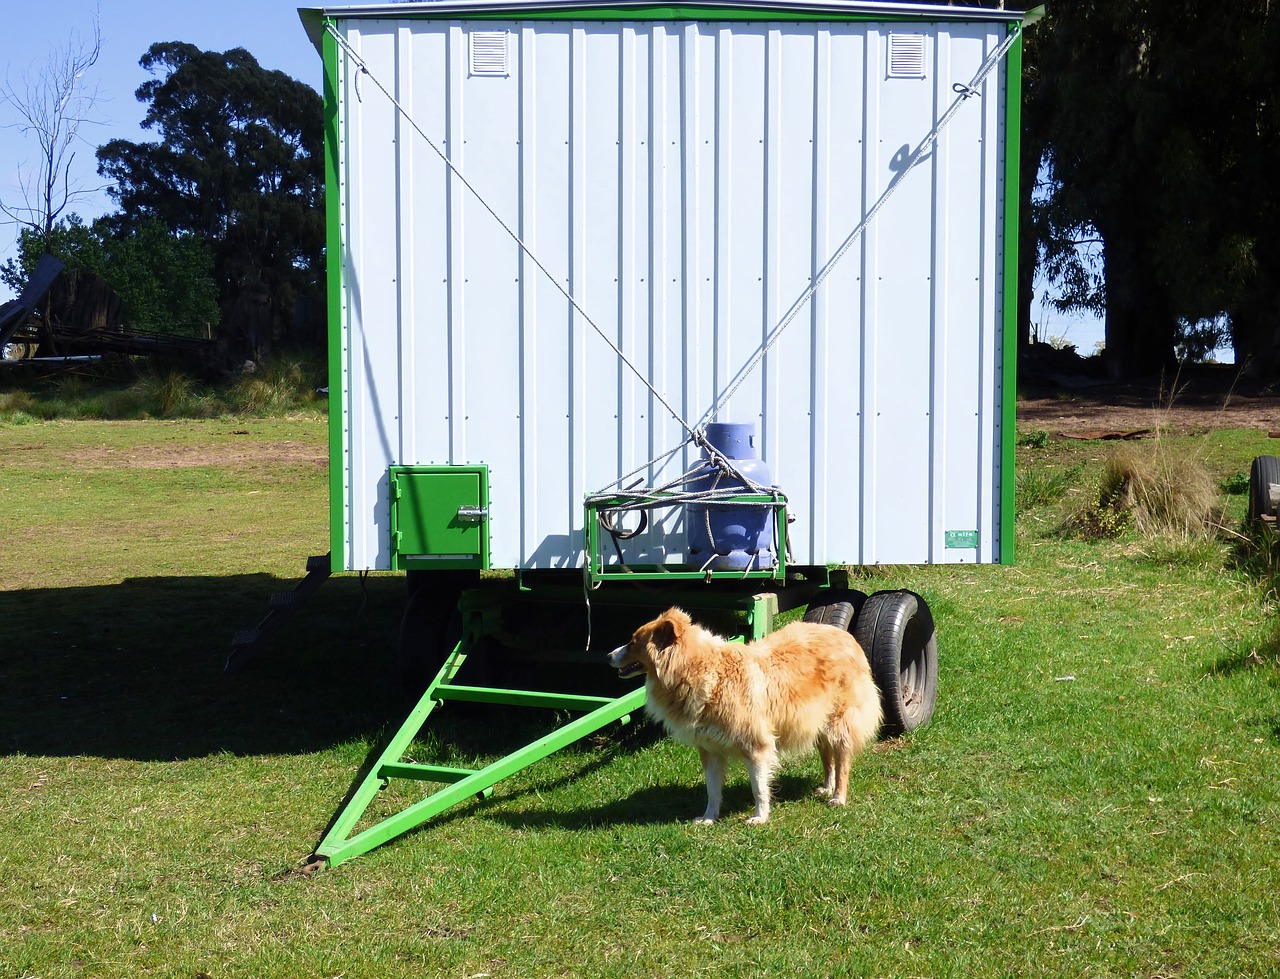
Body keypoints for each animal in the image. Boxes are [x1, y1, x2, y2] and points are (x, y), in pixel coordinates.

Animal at [606, 606, 880, 819]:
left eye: (633, 642)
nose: (608, 655)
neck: (704, 670)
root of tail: (846, 636)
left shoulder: (756, 745)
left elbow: (758, 787)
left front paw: (760, 817)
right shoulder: (709, 748)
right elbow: (712, 789)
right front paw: (708, 818)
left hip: (839, 720)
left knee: (842, 759)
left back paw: (838, 796)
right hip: (816, 721)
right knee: (827, 755)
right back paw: (826, 786)